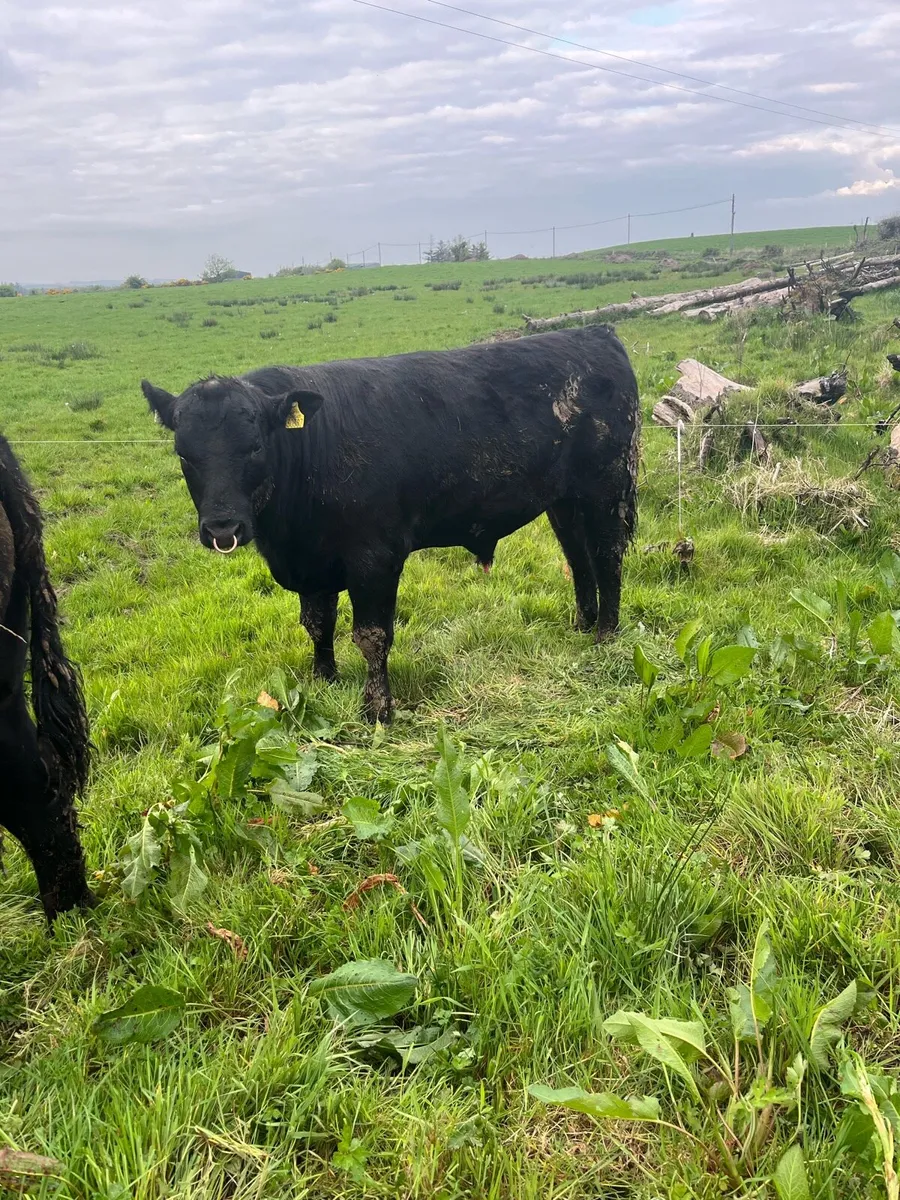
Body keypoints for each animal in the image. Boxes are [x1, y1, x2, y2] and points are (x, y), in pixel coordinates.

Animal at [142, 325, 640, 723]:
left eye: (255, 447)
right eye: (184, 454)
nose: (222, 529)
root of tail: (595, 333)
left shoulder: (374, 558)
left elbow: (372, 636)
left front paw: (377, 709)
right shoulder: (312, 563)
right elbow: (317, 623)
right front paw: (323, 678)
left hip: (605, 488)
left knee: (607, 554)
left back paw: (605, 635)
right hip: (563, 501)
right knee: (578, 556)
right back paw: (582, 624)